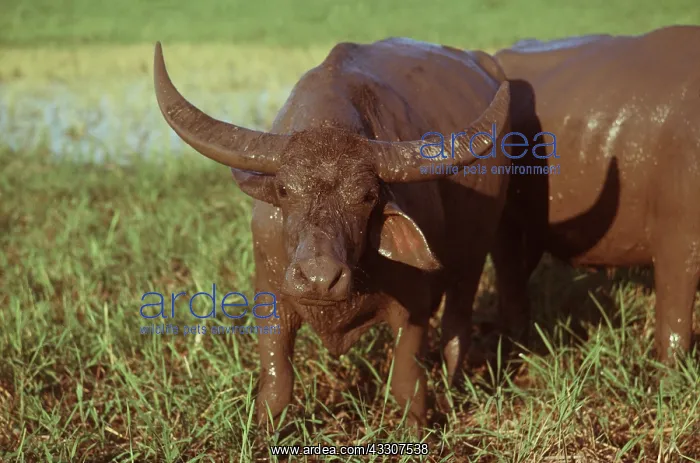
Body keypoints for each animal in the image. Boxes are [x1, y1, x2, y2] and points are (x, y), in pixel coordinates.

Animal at [153, 38, 512, 427]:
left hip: (473, 259)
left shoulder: (413, 307)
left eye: (367, 196)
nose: (318, 278)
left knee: (456, 326)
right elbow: (277, 380)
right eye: (284, 190)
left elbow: (407, 382)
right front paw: (266, 429)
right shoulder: (271, 297)